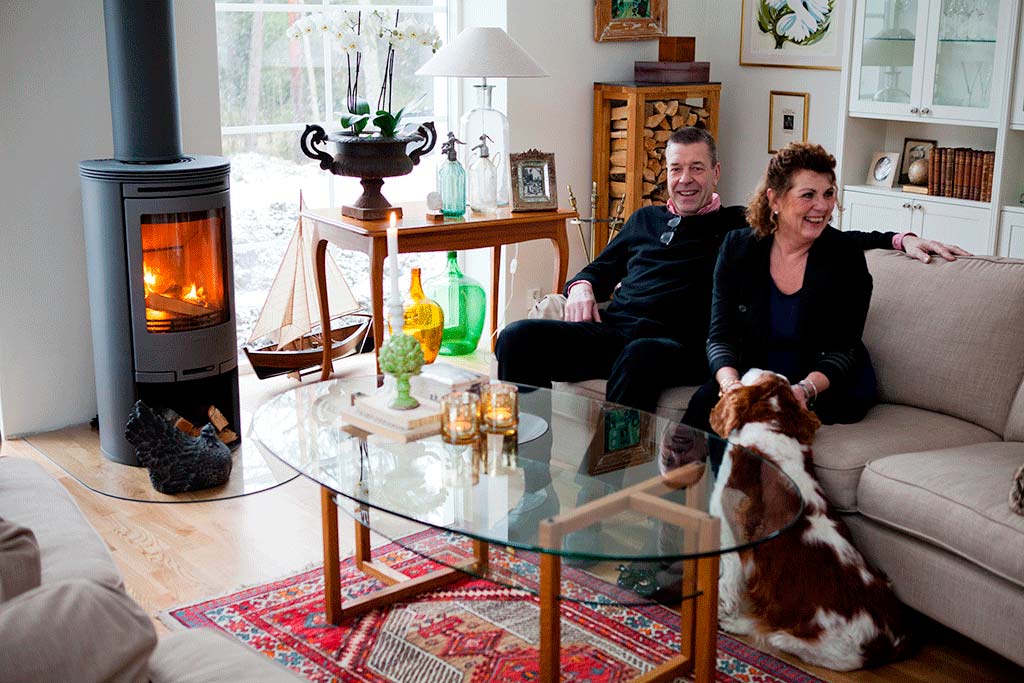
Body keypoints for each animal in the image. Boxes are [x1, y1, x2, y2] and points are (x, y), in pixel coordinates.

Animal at [708, 369, 912, 671]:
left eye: (757, 374)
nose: (747, 370)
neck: (773, 423)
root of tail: (890, 642)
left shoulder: (728, 523)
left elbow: (727, 580)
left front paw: (719, 611)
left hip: (822, 644)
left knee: (775, 633)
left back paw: (738, 624)